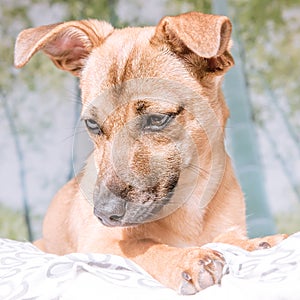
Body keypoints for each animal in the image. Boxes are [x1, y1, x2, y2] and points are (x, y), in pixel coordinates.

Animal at [14, 12, 286, 296]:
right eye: (92, 124)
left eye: (157, 119)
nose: (104, 214)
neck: (188, 203)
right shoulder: (101, 243)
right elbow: (144, 247)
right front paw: (187, 259)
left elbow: (229, 237)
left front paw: (257, 242)